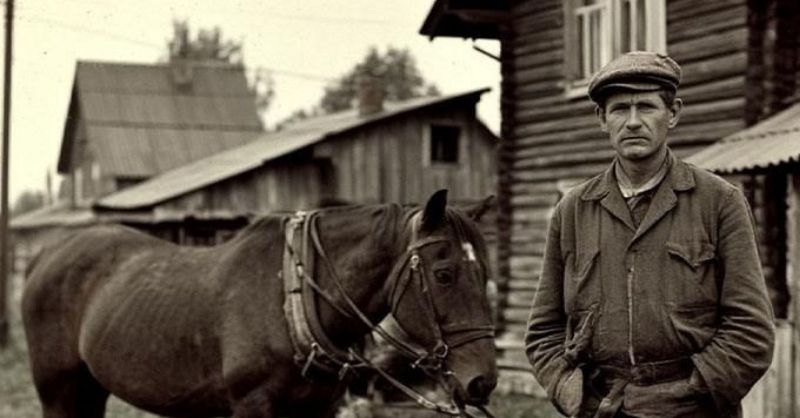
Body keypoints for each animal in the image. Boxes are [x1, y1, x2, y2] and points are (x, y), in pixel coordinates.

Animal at [21, 190, 498, 418]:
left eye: (485, 274)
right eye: (444, 274)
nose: (482, 382)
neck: (291, 302)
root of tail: (47, 253)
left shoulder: (319, 410)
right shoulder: (252, 406)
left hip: (89, 387)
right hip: (57, 391)